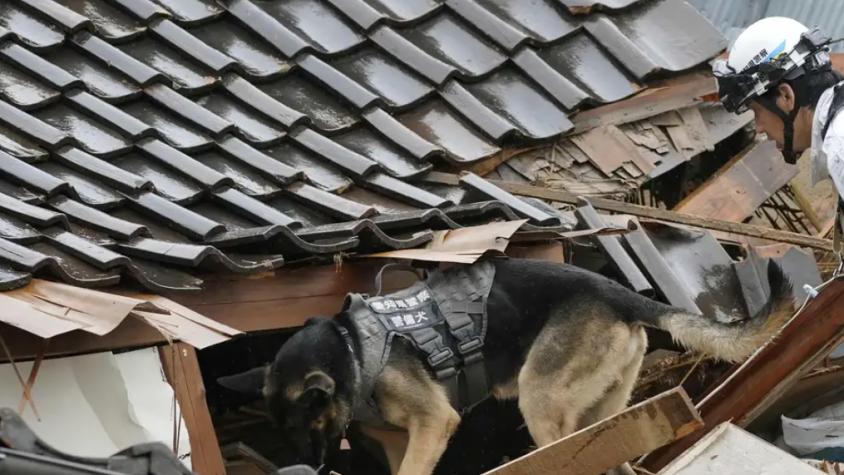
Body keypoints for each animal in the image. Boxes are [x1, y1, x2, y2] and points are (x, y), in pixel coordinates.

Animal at [218, 258, 792, 474]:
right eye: (281, 432)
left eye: (307, 424)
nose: (309, 465)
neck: (351, 347)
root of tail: (618, 292)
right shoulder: (407, 440)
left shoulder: (433, 423)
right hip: (605, 412)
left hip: (541, 401)